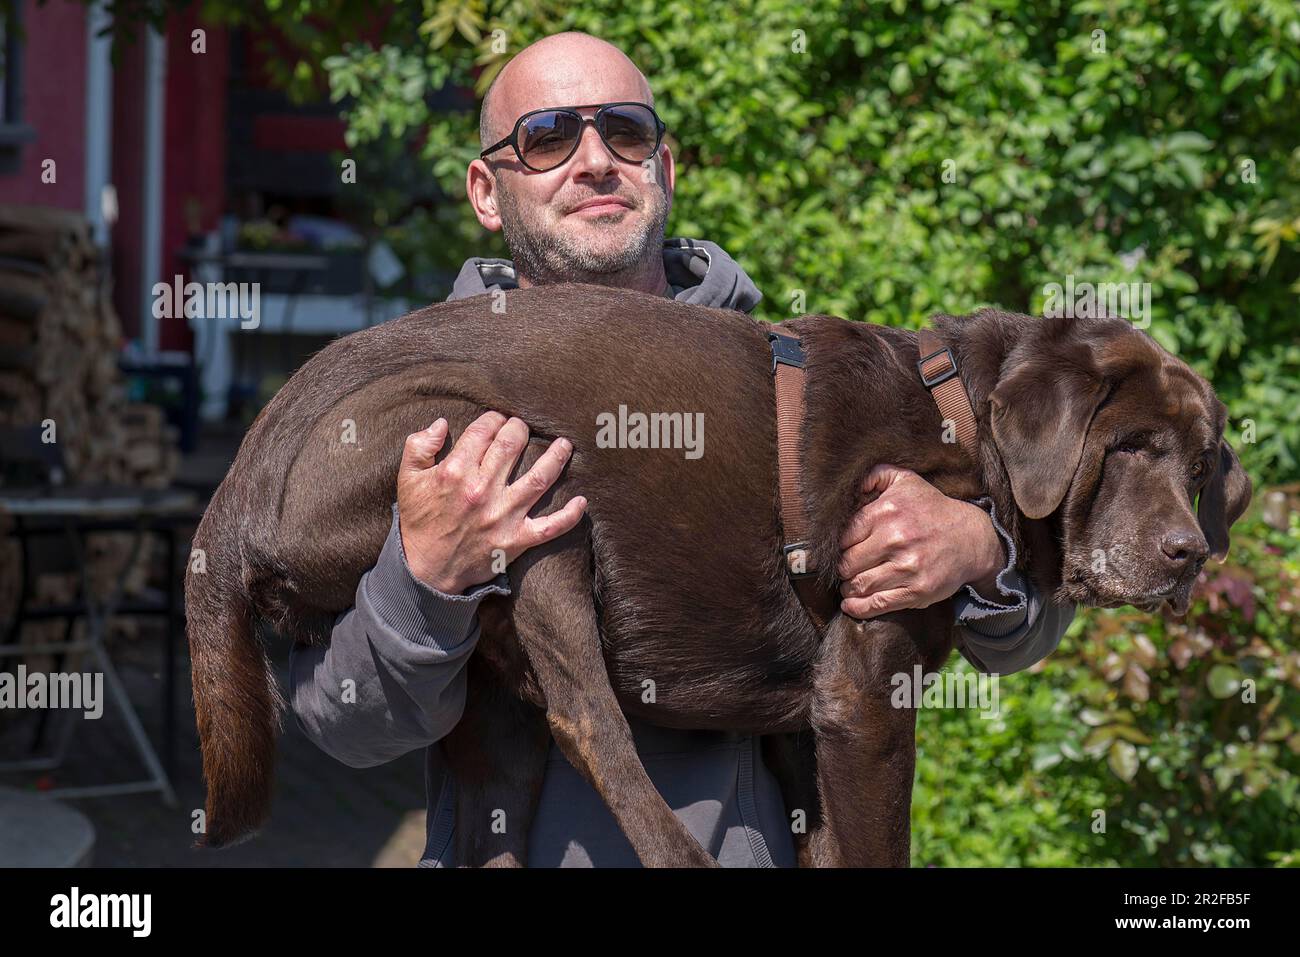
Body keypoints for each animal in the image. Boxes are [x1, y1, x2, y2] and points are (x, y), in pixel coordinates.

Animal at [183, 283, 1248, 868]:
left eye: (1200, 463)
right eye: (1129, 447)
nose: (1187, 554)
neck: (961, 422)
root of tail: (237, 483)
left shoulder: (810, 729)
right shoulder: (865, 695)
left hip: (487, 687)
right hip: (518, 469)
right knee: (590, 721)